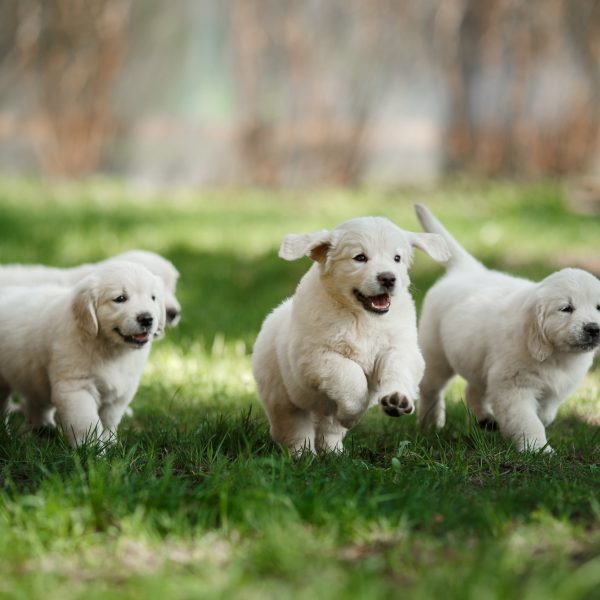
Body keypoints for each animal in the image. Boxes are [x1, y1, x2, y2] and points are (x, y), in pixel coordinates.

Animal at [0, 262, 164, 446]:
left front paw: (111, 443)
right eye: (120, 298)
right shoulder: (76, 388)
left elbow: (109, 420)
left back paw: (43, 430)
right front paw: (90, 449)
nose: (147, 318)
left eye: (153, 298)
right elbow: (87, 422)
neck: (110, 349)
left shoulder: (121, 392)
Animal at [253, 217, 450, 454]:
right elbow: (351, 375)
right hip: (282, 396)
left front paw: (397, 399)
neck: (361, 317)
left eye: (397, 258)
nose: (388, 278)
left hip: (322, 411)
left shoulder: (400, 347)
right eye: (360, 258)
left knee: (329, 430)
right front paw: (352, 415)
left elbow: (397, 368)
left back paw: (334, 453)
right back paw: (304, 455)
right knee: (294, 429)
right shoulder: (314, 357)